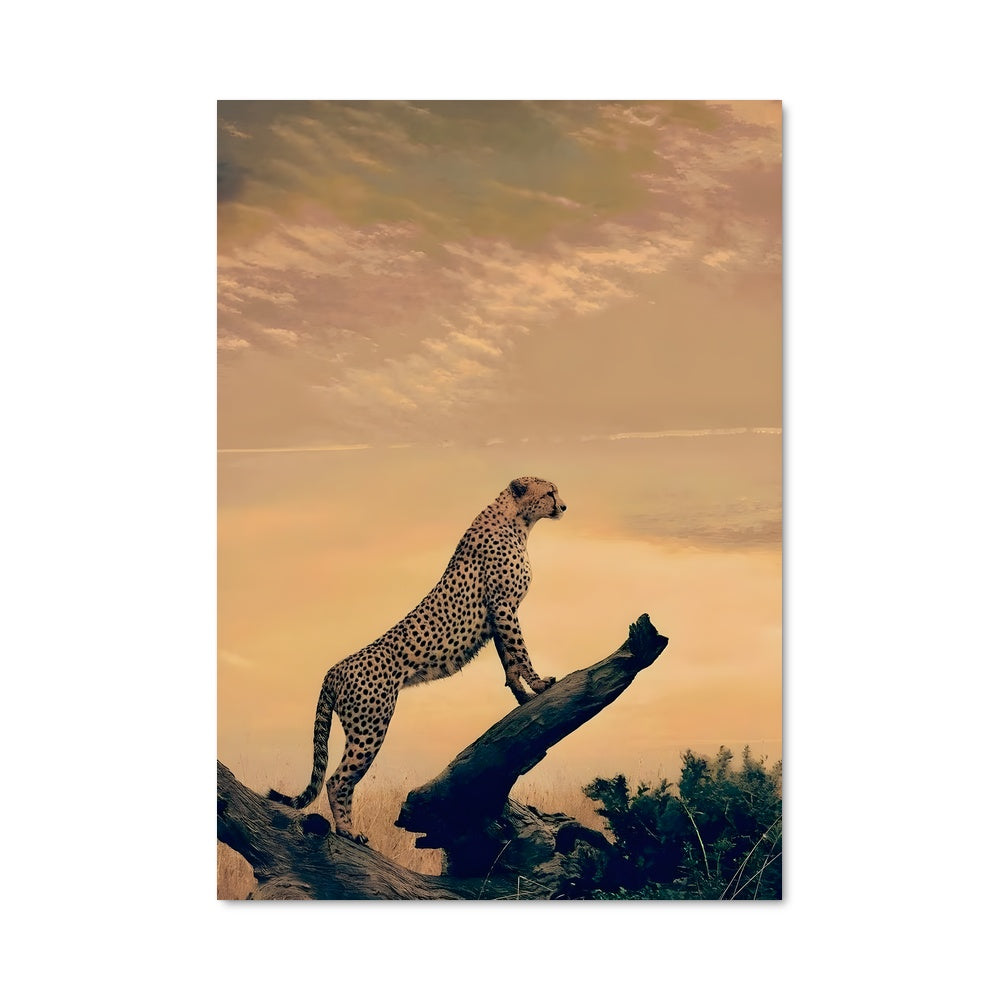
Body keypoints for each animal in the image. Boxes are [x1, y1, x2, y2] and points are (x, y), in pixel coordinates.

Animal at [267, 475, 567, 843]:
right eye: (549, 492)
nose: (564, 506)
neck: (518, 521)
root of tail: (334, 668)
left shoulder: (498, 615)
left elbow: (509, 661)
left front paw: (523, 695)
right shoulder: (503, 606)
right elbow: (520, 650)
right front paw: (539, 684)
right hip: (370, 726)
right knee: (338, 779)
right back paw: (348, 831)